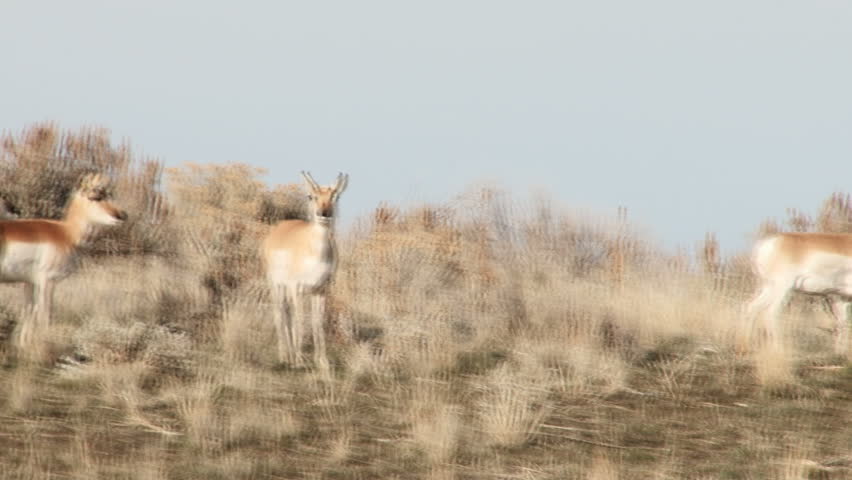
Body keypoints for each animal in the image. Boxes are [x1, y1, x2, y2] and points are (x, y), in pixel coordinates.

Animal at [0, 173, 127, 347]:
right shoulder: (48, 281)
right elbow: (45, 316)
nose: (122, 215)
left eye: (110, 195)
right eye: (94, 196)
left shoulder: (29, 283)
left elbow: (29, 312)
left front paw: (24, 346)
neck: (66, 233)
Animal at [262, 171, 348, 368]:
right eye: (311, 196)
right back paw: (285, 356)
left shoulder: (321, 290)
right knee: (280, 314)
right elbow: (300, 320)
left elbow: (318, 322)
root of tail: (279, 228)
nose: (324, 214)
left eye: (335, 196)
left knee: (288, 314)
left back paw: (290, 354)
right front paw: (300, 360)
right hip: (276, 286)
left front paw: (323, 361)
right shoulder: (297, 288)